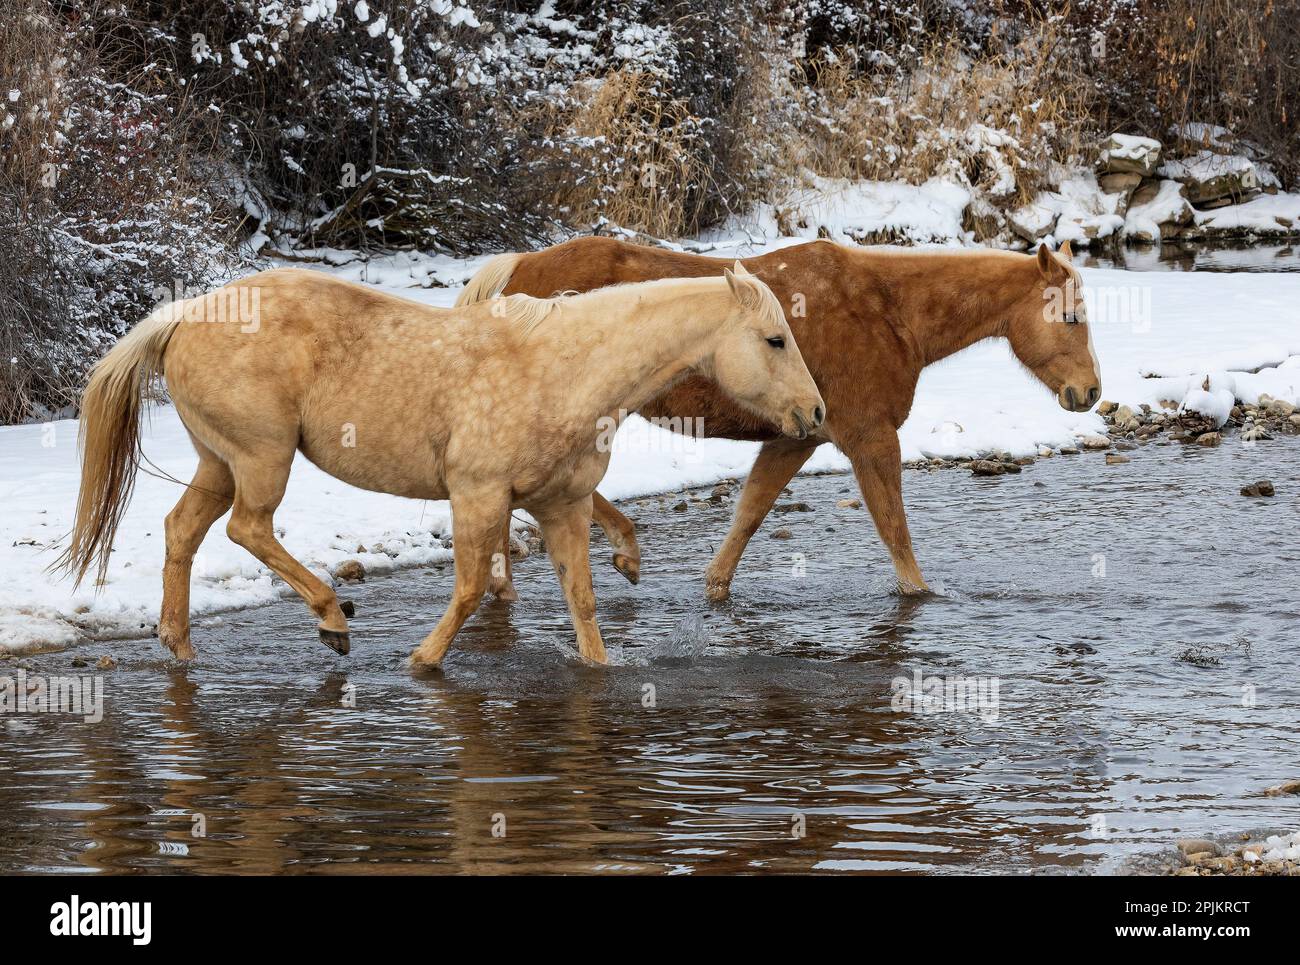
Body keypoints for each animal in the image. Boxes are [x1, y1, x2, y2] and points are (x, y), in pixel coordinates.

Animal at [56, 265, 824, 667]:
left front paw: (598, 666)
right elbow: (471, 589)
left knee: (184, 529)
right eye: (774, 339)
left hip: (220, 460)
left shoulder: (563, 504)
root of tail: (181, 317)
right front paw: (422, 661)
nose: (814, 413)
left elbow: (581, 601)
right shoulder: (478, 496)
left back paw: (180, 644)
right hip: (260, 458)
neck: (564, 370)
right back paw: (332, 619)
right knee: (247, 529)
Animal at [457, 238, 1100, 600]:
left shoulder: (797, 438)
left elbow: (748, 516)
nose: (1089, 391)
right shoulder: (871, 439)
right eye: (1069, 318)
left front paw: (715, 588)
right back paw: (619, 550)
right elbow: (895, 531)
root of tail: (519, 272)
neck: (890, 313)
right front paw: (920, 595)